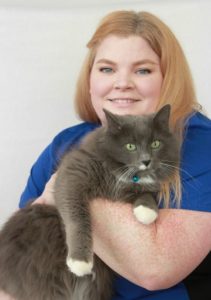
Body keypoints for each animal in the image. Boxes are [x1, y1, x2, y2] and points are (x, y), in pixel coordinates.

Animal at [0, 104, 180, 298]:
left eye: (155, 144)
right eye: (130, 146)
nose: (146, 161)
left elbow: (146, 194)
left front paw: (147, 212)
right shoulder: (72, 176)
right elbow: (78, 219)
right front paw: (80, 261)